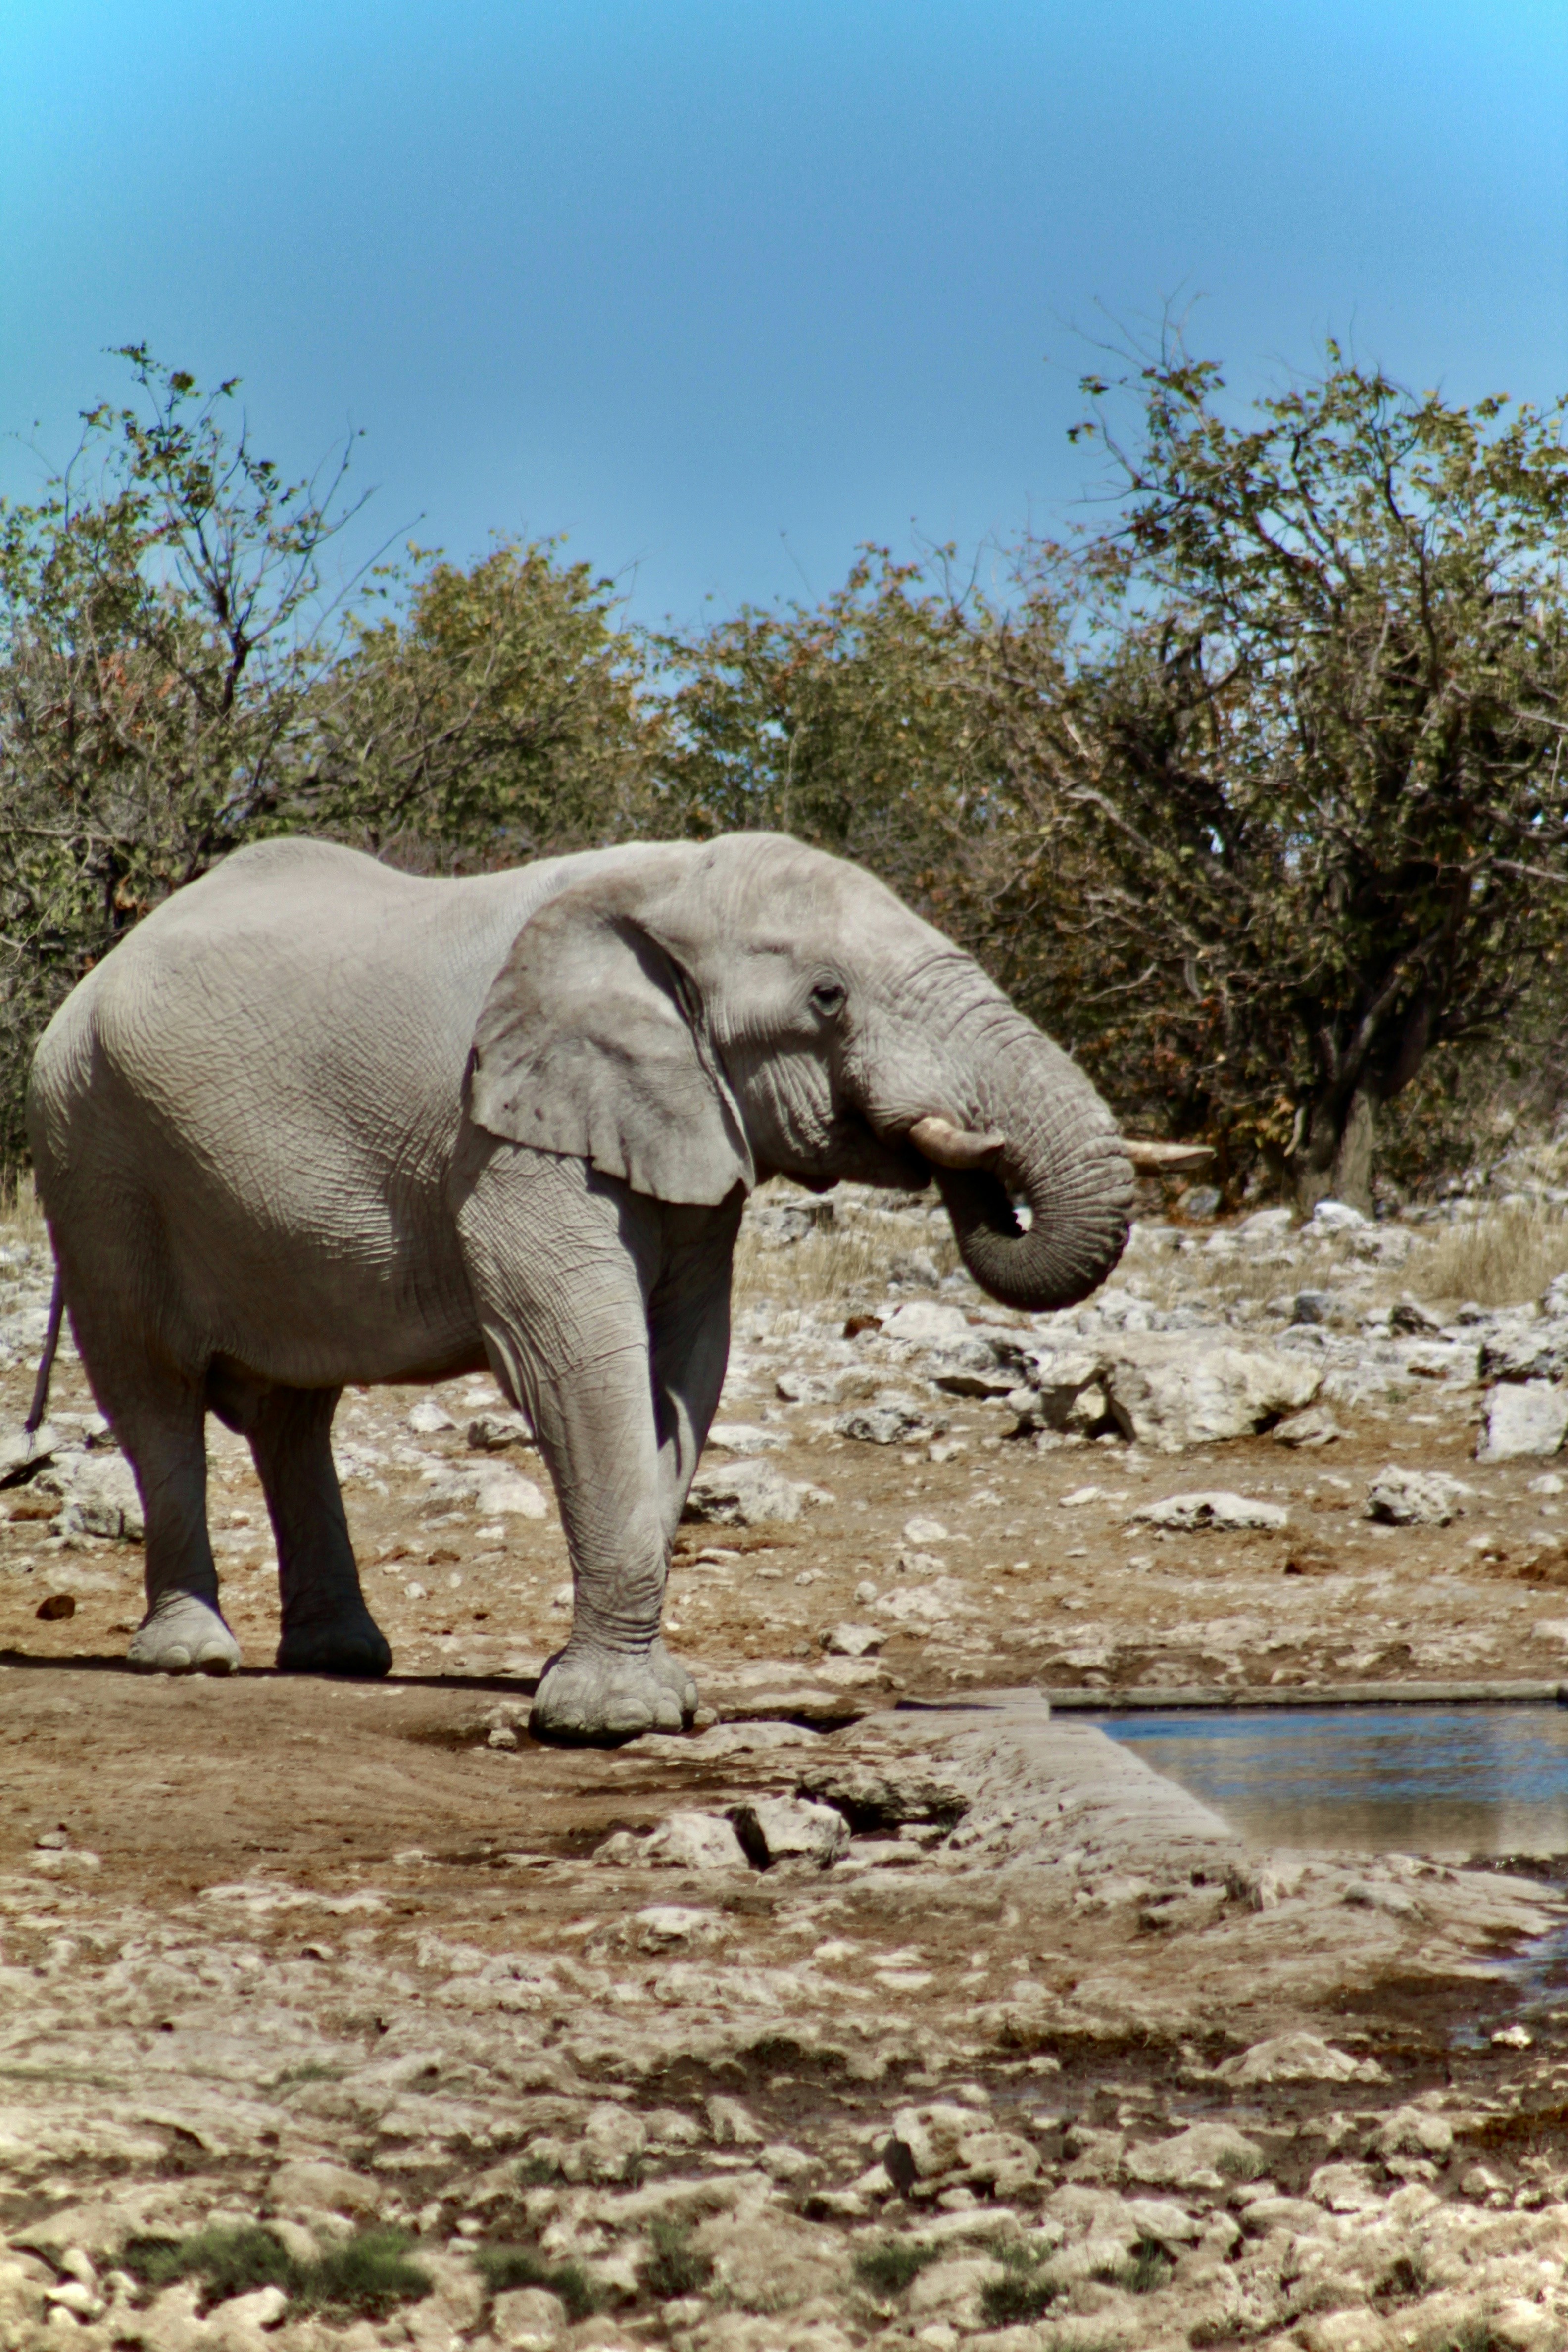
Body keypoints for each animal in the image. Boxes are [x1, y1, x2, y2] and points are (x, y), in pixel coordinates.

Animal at [25, 830, 1134, 1740]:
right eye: (829, 997)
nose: (975, 1167)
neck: (670, 881)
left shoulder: (685, 1123)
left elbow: (687, 1362)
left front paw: (631, 1696)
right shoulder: (509, 1134)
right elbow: (573, 1351)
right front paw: (611, 1720)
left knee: (293, 1414)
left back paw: (341, 1661)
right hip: (92, 1156)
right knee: (154, 1391)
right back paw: (190, 1658)